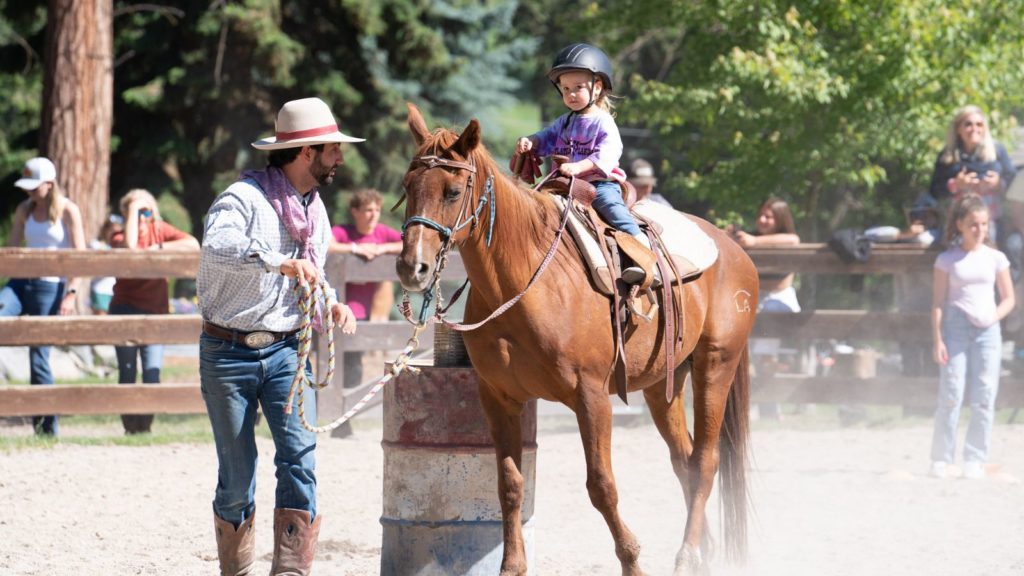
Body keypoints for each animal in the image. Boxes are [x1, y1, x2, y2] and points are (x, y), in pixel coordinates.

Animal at [395, 104, 757, 573]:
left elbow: (602, 485)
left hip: (716, 365)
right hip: (665, 383)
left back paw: (687, 555)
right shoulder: (497, 397)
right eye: (408, 186)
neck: (524, 283)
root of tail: (733, 249)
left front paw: (632, 561)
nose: (412, 267)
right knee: (685, 461)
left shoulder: (592, 396)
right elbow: (510, 484)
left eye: (453, 191)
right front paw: (511, 566)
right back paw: (701, 552)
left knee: (706, 460)